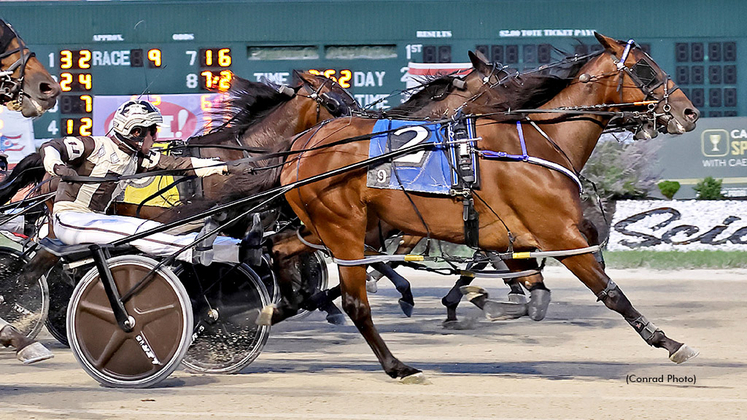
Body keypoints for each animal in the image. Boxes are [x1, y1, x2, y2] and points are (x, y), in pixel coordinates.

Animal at [262, 32, 700, 380]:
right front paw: (669, 342)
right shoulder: (559, 236)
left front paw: (484, 303)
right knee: (355, 302)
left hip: (335, 226)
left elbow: (536, 297)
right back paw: (396, 365)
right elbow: (610, 294)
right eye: (645, 69)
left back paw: (278, 307)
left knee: (279, 247)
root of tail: (302, 145)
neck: (537, 140)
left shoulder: (512, 236)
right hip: (345, 230)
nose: (689, 112)